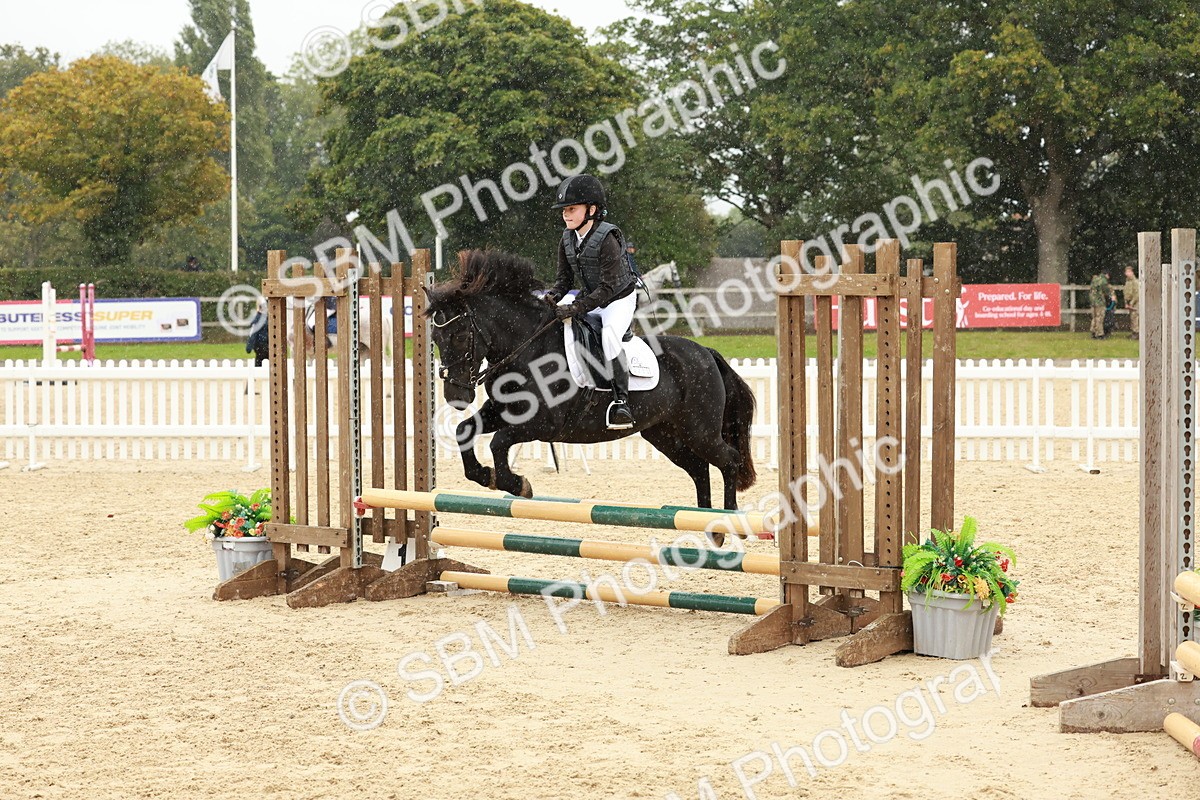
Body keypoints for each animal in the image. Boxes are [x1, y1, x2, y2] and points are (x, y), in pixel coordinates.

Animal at [424, 249, 757, 531]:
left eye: (459, 335)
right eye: (435, 338)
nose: (456, 397)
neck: (529, 348)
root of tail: (705, 352)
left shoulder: (543, 424)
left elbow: (498, 443)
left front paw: (517, 484)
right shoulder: (503, 411)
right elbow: (465, 431)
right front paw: (487, 477)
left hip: (699, 431)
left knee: (728, 460)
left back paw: (727, 521)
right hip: (664, 434)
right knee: (699, 468)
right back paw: (706, 524)